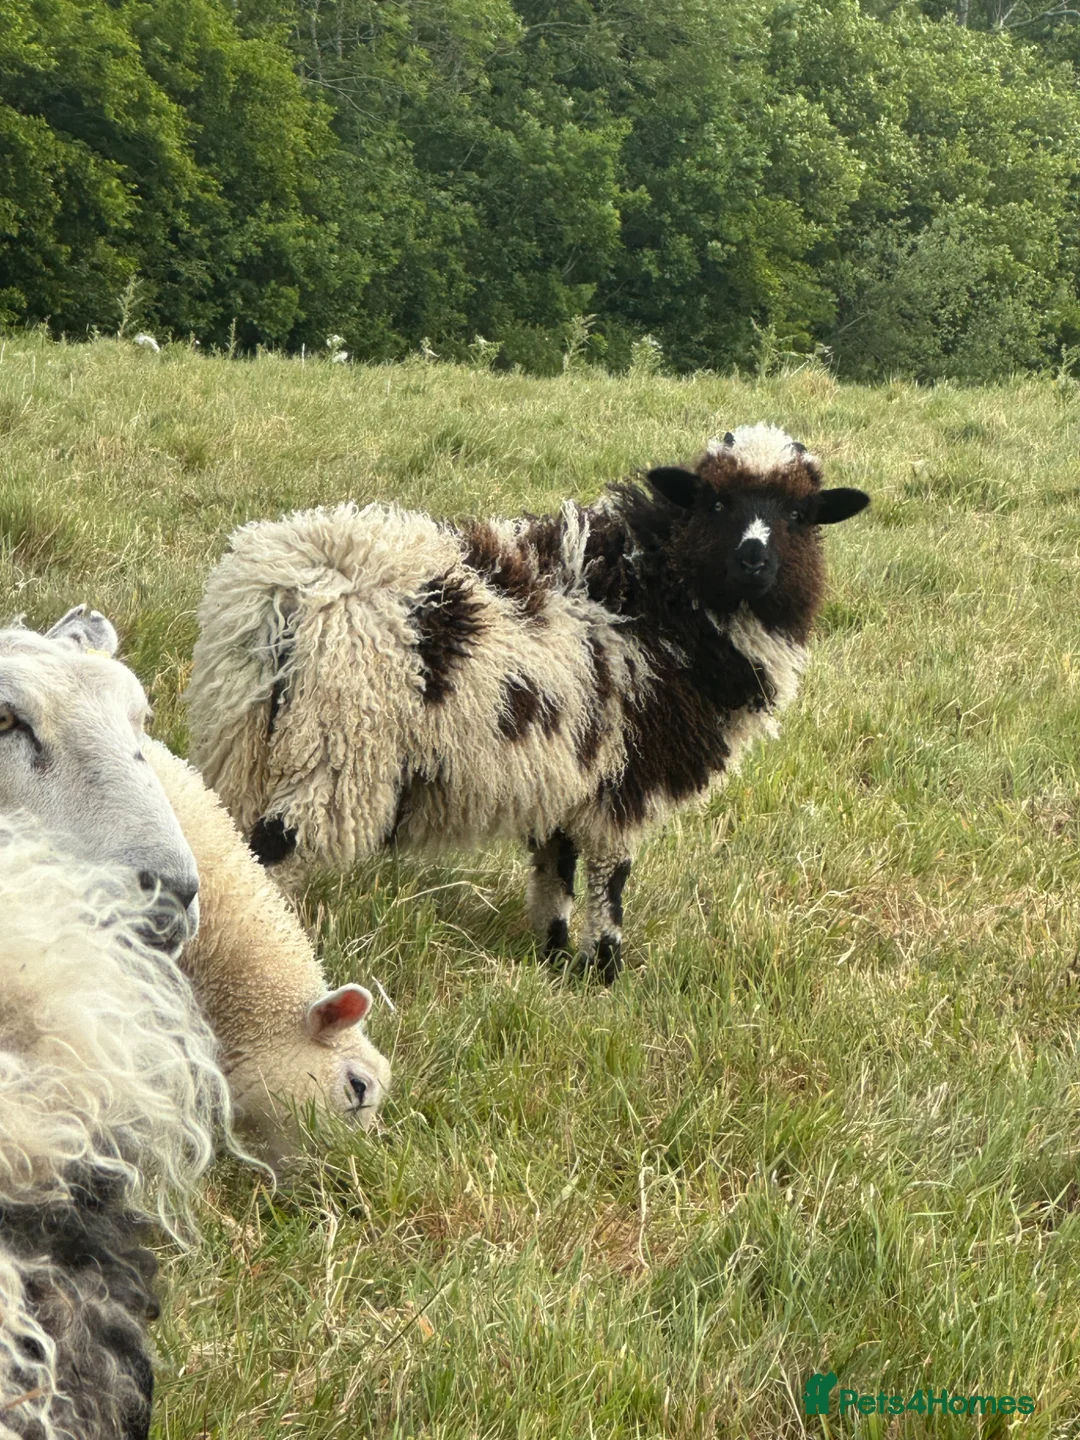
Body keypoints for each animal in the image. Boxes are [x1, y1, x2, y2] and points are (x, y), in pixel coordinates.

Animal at [186, 423, 870, 982]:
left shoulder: (565, 772)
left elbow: (554, 871)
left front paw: (552, 956)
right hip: (336, 745)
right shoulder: (621, 783)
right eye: (717, 502)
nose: (754, 559)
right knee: (271, 851)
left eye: (801, 514)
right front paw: (603, 972)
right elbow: (609, 880)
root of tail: (292, 591)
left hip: (241, 736)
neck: (663, 600)